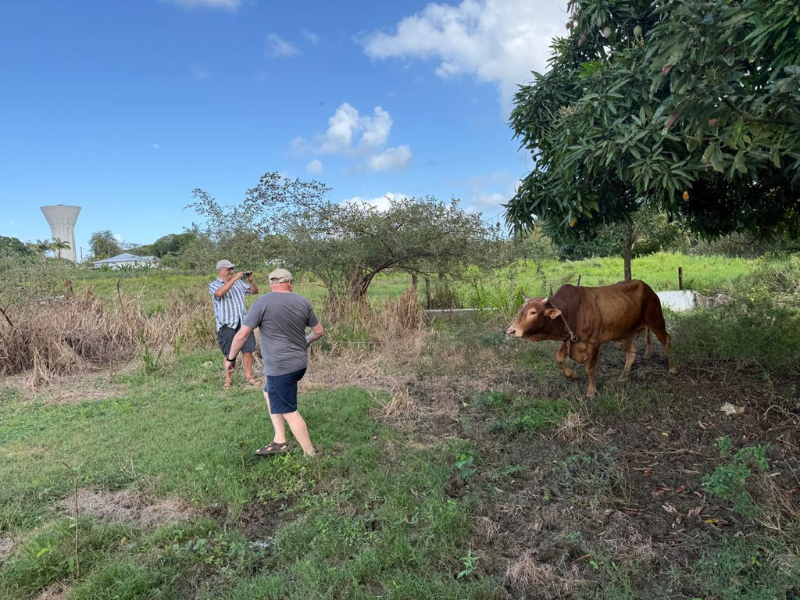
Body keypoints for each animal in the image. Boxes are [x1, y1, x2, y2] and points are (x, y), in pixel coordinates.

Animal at [506, 282, 676, 398]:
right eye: (520, 310)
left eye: (533, 312)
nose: (510, 331)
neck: (571, 312)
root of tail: (648, 288)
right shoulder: (570, 340)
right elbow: (559, 358)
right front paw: (573, 374)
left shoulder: (594, 343)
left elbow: (590, 369)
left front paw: (591, 391)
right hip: (626, 334)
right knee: (632, 352)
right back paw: (622, 377)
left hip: (656, 320)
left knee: (666, 340)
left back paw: (672, 368)